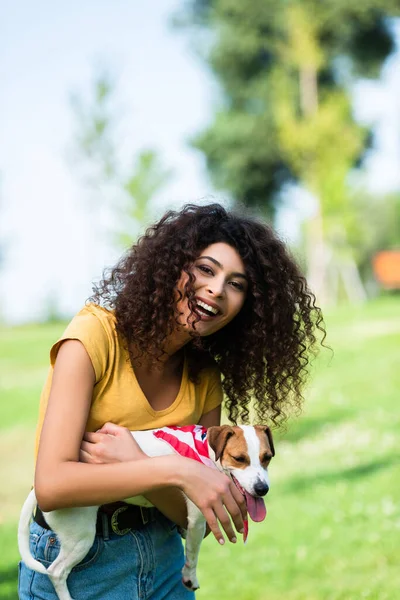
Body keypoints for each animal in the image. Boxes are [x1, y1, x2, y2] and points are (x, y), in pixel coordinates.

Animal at [18, 422, 276, 600]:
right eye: (239, 458)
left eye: (267, 458)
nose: (262, 489)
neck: (205, 450)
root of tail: (37, 491)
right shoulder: (198, 518)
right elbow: (192, 555)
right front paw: (190, 576)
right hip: (80, 537)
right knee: (56, 571)